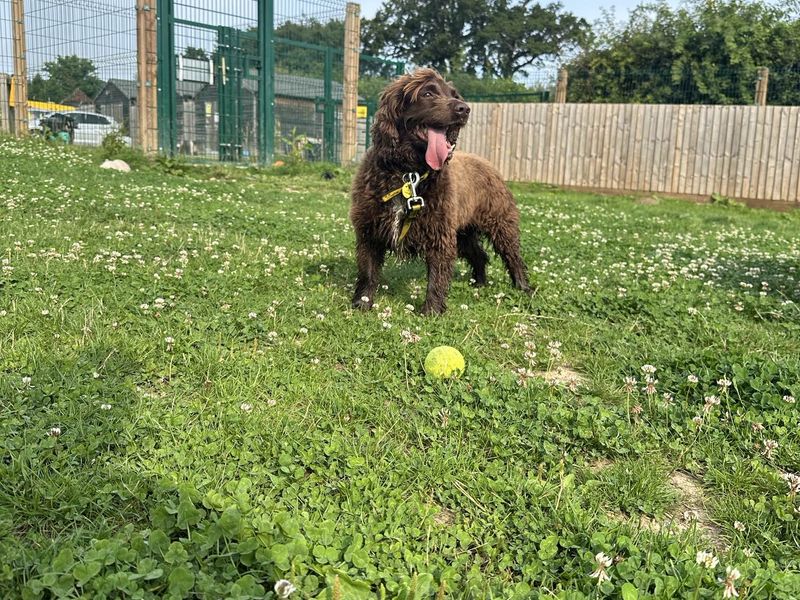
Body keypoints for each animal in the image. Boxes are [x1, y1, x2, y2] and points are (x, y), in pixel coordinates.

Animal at [350, 68, 532, 316]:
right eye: (427, 93)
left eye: (454, 94)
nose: (464, 109)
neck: (408, 174)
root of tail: (488, 164)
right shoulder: (370, 230)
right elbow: (367, 272)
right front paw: (362, 303)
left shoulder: (440, 234)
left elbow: (437, 277)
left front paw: (432, 311)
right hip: (463, 232)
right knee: (479, 255)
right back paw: (479, 282)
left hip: (500, 224)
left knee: (513, 257)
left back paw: (524, 287)